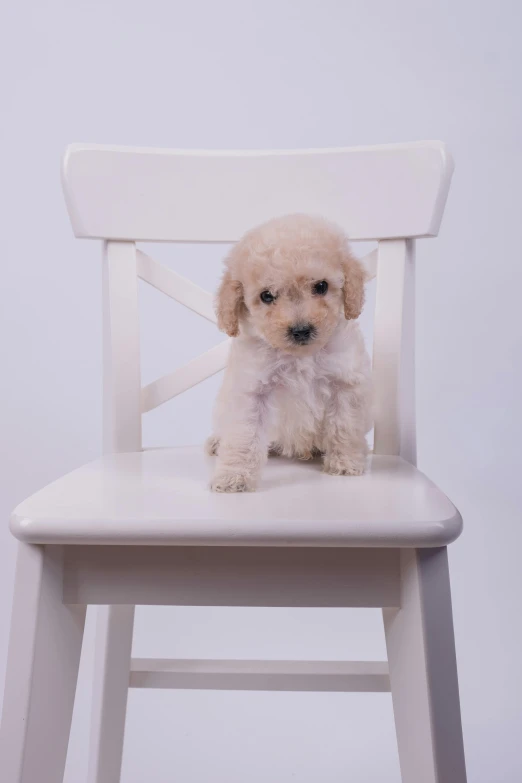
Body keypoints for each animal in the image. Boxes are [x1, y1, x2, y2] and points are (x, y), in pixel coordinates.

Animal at [205, 211, 372, 494]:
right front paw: (234, 477)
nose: (301, 330)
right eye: (267, 296)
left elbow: (344, 427)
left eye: (321, 286)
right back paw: (217, 442)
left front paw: (345, 464)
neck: (300, 356)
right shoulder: (252, 391)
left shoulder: (344, 385)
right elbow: (243, 437)